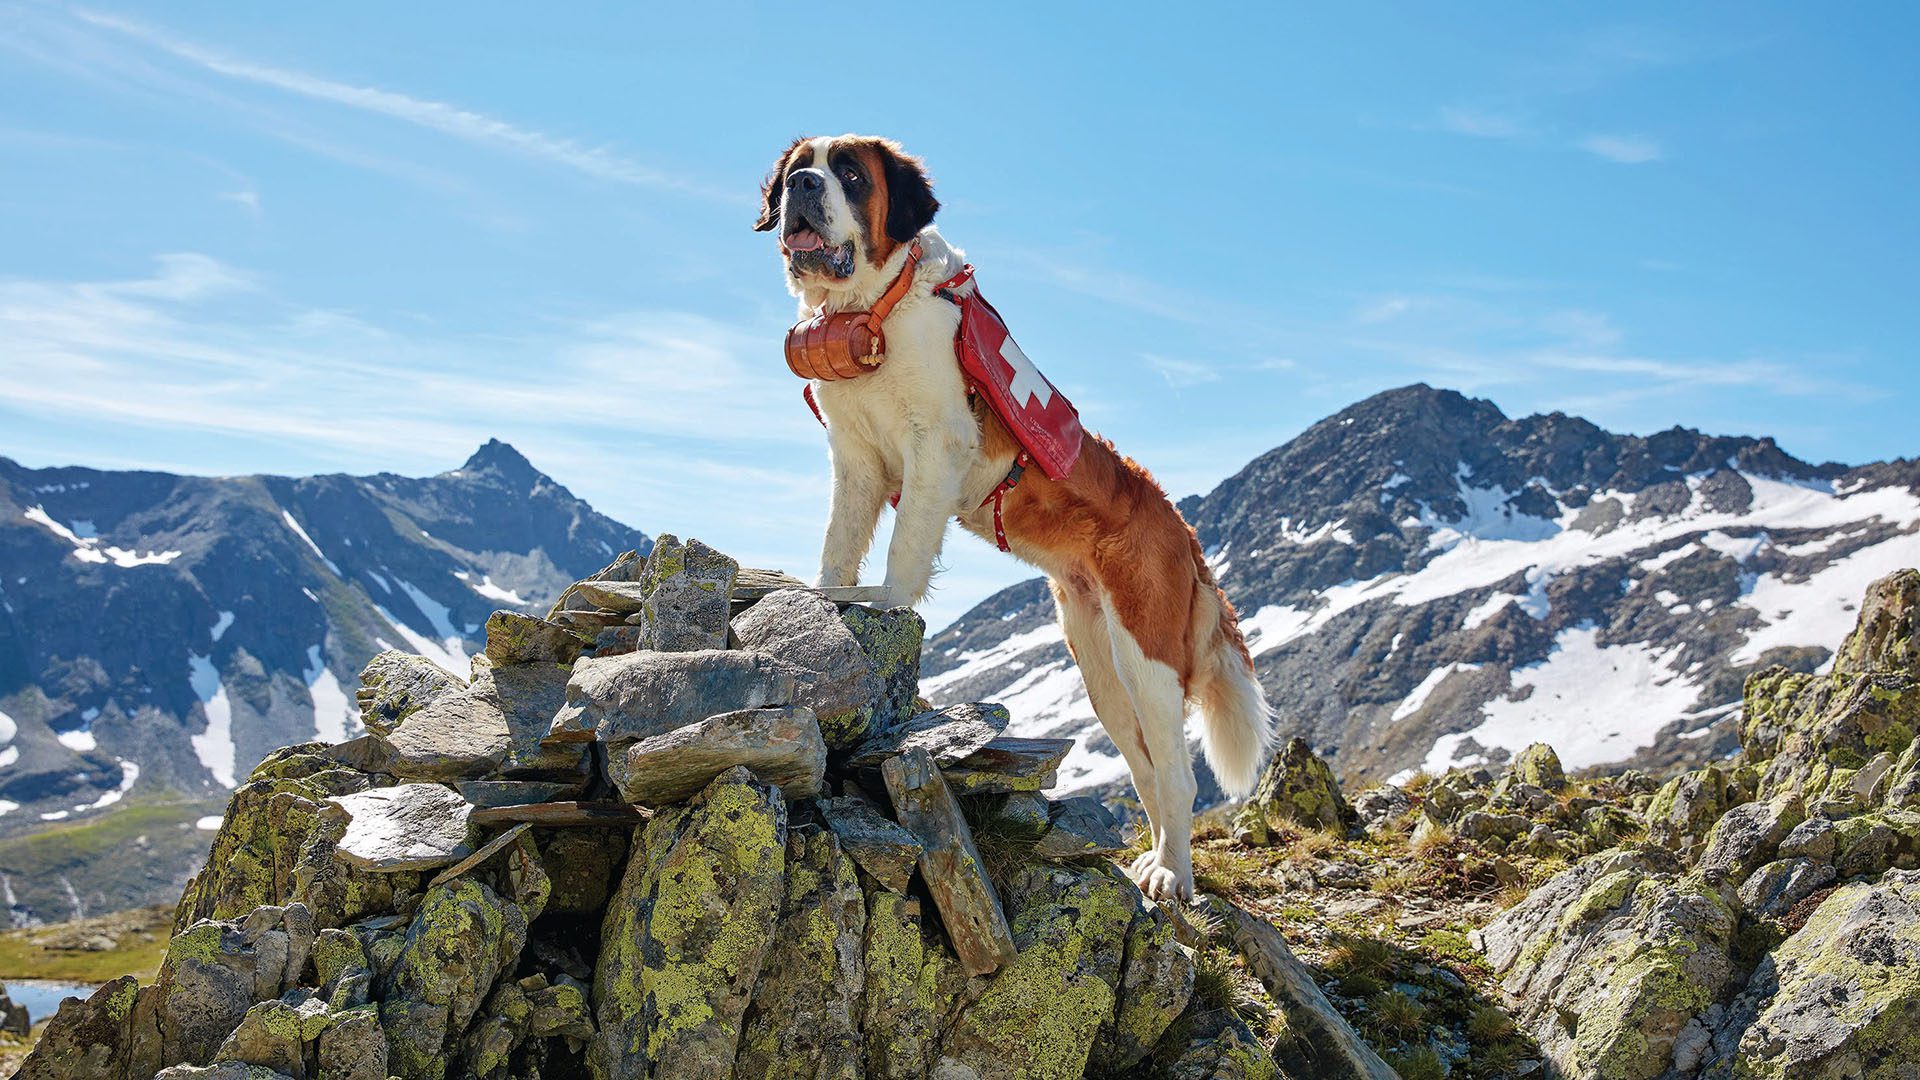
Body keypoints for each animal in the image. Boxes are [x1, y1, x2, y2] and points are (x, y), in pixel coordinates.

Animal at [752, 132, 1274, 899]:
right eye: (798, 170)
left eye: (849, 174)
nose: (804, 188)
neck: (875, 304)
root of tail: (1182, 529)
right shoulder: (855, 459)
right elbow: (840, 541)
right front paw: (825, 594)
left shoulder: (936, 442)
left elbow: (903, 551)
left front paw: (883, 604)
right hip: (1097, 663)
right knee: (1147, 771)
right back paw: (1151, 859)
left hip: (1145, 655)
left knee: (1177, 776)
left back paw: (1172, 877)